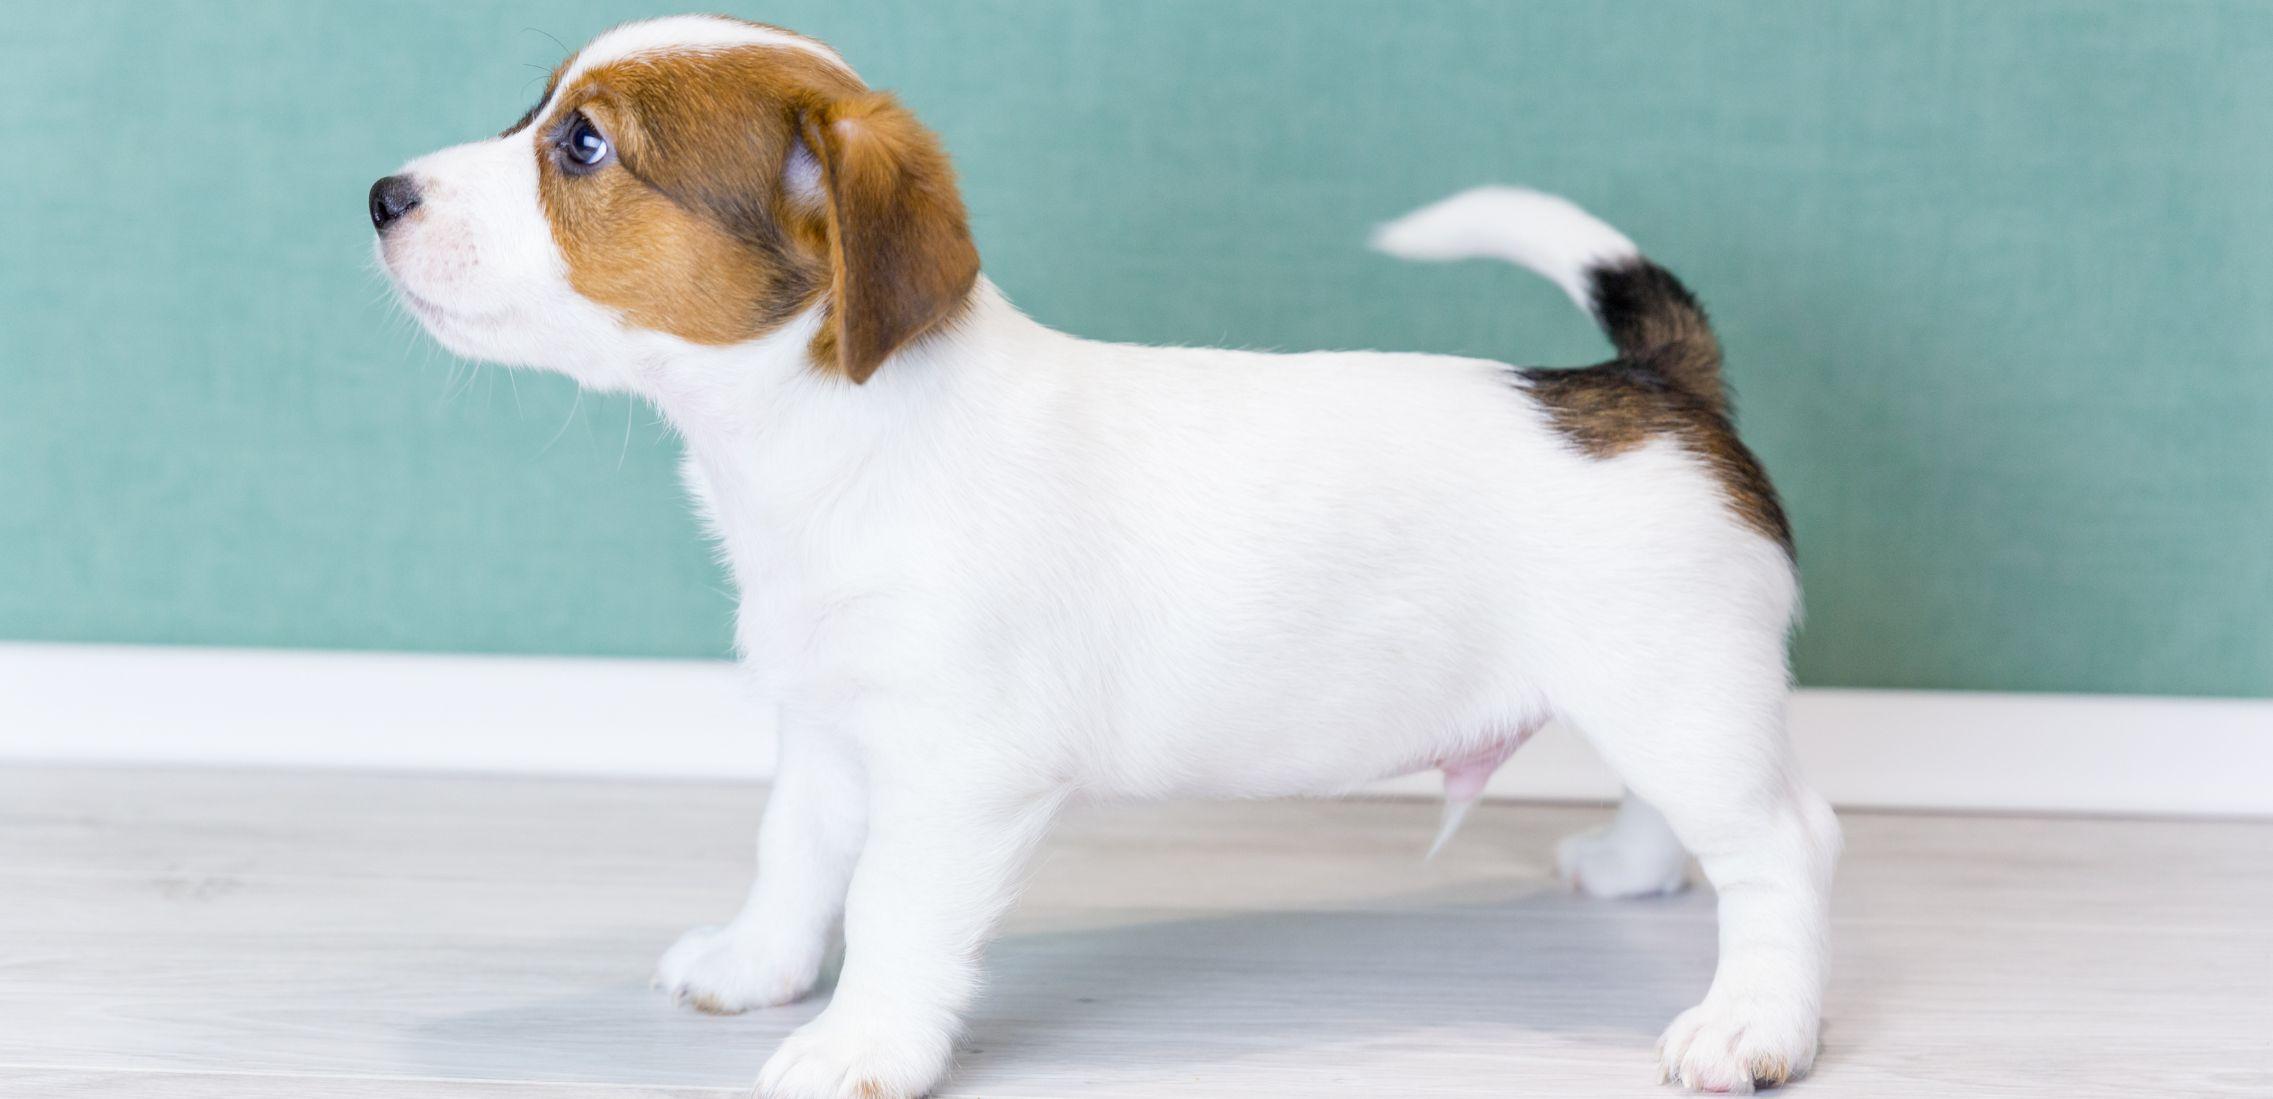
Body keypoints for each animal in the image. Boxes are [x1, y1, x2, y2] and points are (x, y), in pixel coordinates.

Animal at [363, 12, 1836, 1094]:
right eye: (538, 112)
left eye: (584, 146)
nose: (381, 193)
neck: (833, 438)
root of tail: (1654, 384)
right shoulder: (830, 732)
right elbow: (793, 855)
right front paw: (759, 961)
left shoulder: (956, 778)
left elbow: (889, 908)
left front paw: (860, 1042)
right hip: (1652, 694)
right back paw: (1639, 868)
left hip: (1673, 692)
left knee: (1782, 844)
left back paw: (1754, 1022)